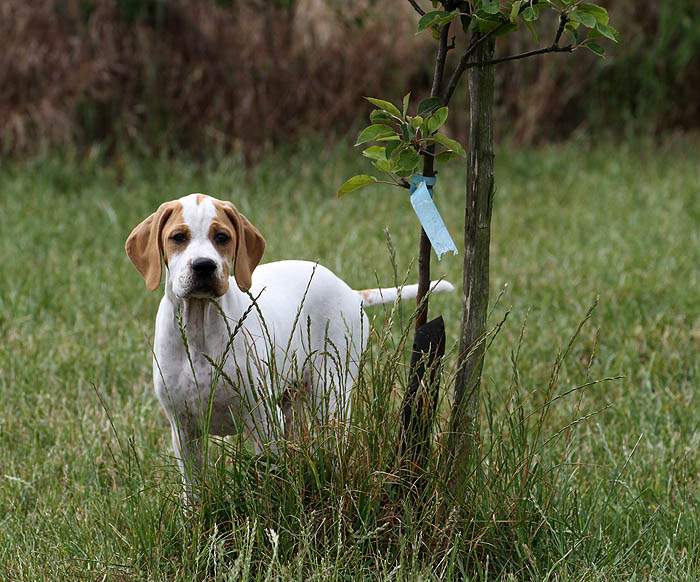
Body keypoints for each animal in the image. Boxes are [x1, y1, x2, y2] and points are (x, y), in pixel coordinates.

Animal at [126, 193, 454, 502]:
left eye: (222, 237)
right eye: (178, 238)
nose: (204, 266)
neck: (200, 329)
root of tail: (350, 292)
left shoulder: (261, 421)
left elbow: (267, 480)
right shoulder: (183, 430)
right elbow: (193, 493)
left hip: (331, 393)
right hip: (290, 403)